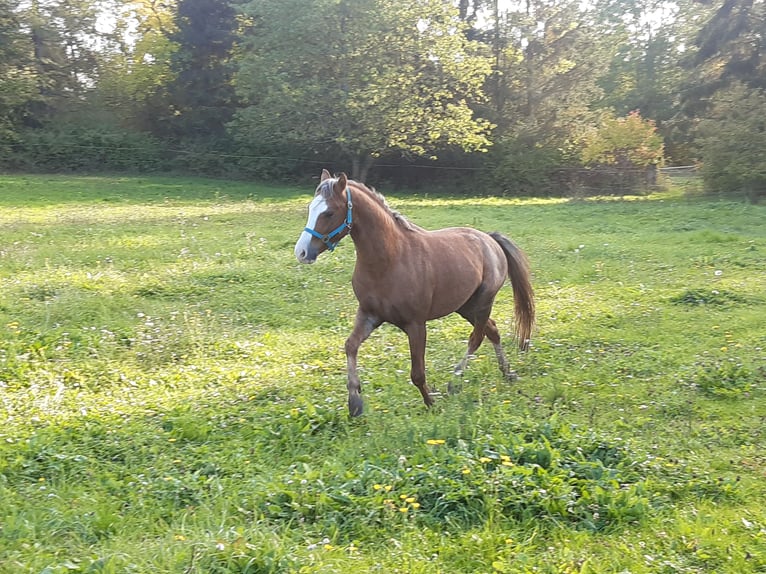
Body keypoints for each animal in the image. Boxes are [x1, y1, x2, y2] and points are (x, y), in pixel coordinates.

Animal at [294, 170, 535, 416]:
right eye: (311, 208)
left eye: (329, 212)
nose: (301, 252)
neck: (389, 261)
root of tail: (489, 239)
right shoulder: (369, 315)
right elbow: (350, 346)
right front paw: (355, 403)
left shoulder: (416, 324)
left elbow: (417, 373)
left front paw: (431, 404)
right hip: (465, 306)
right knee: (492, 331)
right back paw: (507, 372)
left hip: (483, 302)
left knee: (476, 338)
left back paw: (455, 382)